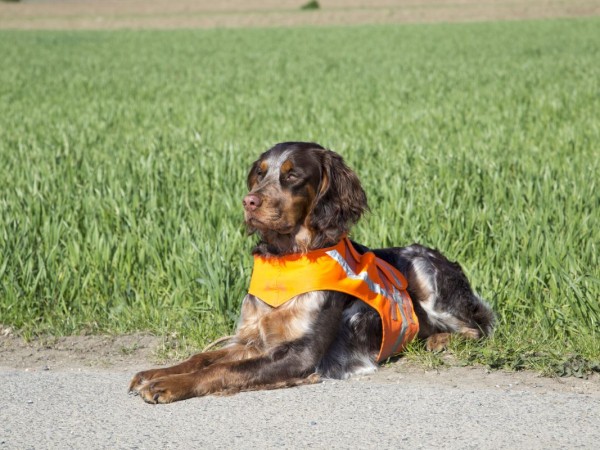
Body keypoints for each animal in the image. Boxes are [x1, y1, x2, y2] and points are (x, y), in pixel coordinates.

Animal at [129, 142, 494, 404]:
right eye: (260, 173)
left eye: (292, 175)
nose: (249, 202)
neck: (287, 260)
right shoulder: (253, 338)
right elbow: (203, 357)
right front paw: (157, 373)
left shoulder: (300, 354)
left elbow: (223, 368)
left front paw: (168, 385)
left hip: (427, 277)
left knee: (482, 326)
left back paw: (440, 339)